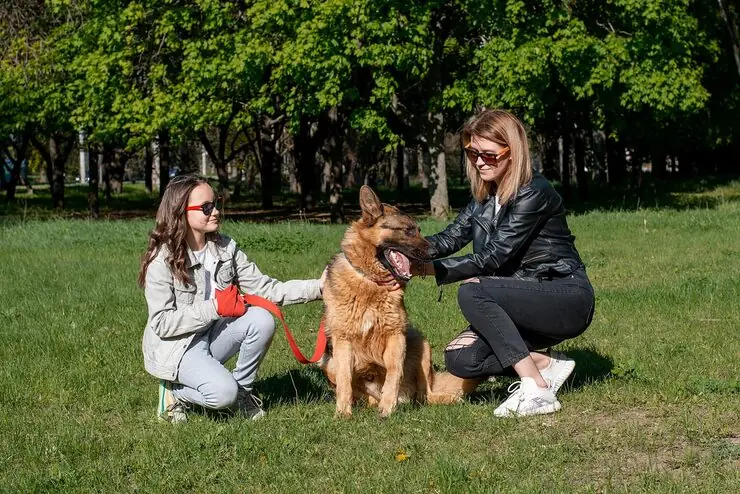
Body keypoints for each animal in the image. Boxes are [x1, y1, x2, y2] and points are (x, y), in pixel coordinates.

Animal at [319, 185, 481, 417]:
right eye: (407, 230)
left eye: (419, 230)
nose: (434, 253)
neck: (372, 282)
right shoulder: (343, 341)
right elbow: (344, 379)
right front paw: (342, 412)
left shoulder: (396, 336)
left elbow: (394, 371)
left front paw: (388, 406)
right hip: (327, 362)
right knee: (364, 396)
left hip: (421, 345)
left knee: (425, 396)